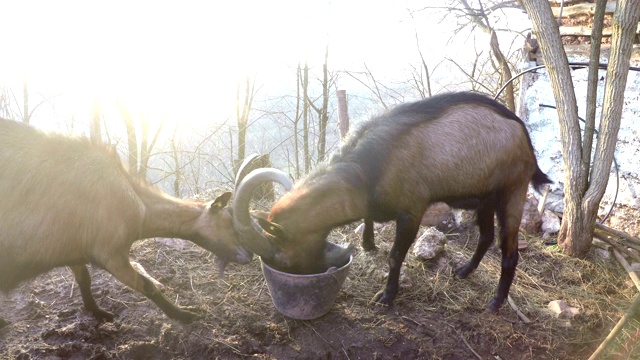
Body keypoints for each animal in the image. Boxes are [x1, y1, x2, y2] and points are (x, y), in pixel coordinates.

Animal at [0, 119, 254, 324]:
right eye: (229, 220)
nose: (249, 255)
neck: (137, 202)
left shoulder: (73, 249)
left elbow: (85, 279)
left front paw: (98, 312)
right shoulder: (110, 254)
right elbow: (147, 285)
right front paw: (183, 314)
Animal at [232, 92, 552, 312]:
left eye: (283, 257)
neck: (369, 167)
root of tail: (525, 138)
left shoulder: (412, 211)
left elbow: (396, 255)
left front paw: (386, 296)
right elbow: (368, 220)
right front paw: (368, 244)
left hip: (511, 192)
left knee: (509, 251)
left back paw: (496, 302)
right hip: (484, 199)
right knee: (485, 237)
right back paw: (464, 271)